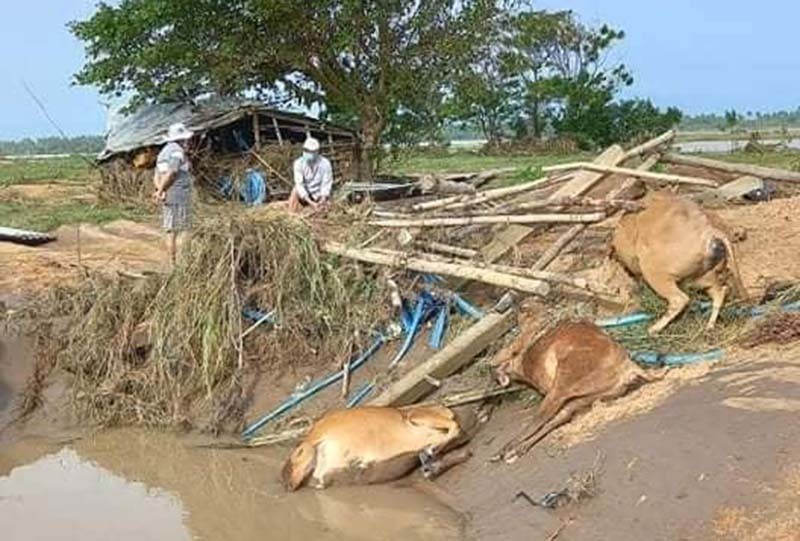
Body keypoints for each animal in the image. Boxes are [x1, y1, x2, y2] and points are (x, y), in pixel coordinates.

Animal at [282, 404, 472, 490]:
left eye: (294, 463)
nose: (288, 486)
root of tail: (444, 407)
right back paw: (431, 457)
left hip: (415, 415)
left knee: (453, 426)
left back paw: (433, 451)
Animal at [490, 318, 660, 462]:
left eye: (504, 357)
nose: (494, 376)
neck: (526, 365)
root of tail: (628, 367)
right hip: (594, 395)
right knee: (563, 416)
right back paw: (516, 450)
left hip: (565, 381)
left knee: (540, 418)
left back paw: (507, 451)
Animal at [608, 190, 748, 334]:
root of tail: (708, 233)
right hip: (701, 277)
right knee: (720, 293)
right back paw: (709, 327)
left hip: (655, 271)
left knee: (680, 299)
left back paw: (653, 329)